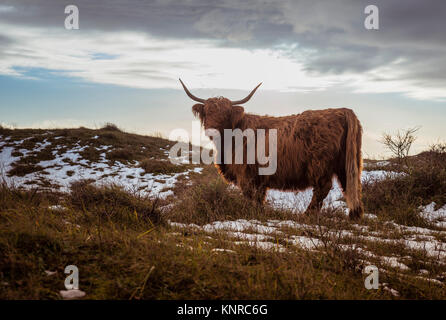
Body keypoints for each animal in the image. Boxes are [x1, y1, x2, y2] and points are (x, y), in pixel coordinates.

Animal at [179, 79, 364, 219]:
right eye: (207, 112)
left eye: (226, 114)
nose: (212, 129)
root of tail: (342, 111)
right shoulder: (260, 177)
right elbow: (259, 196)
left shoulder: (245, 173)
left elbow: (249, 195)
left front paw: (250, 212)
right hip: (348, 162)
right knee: (350, 185)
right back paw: (354, 215)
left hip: (320, 165)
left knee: (322, 188)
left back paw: (307, 214)